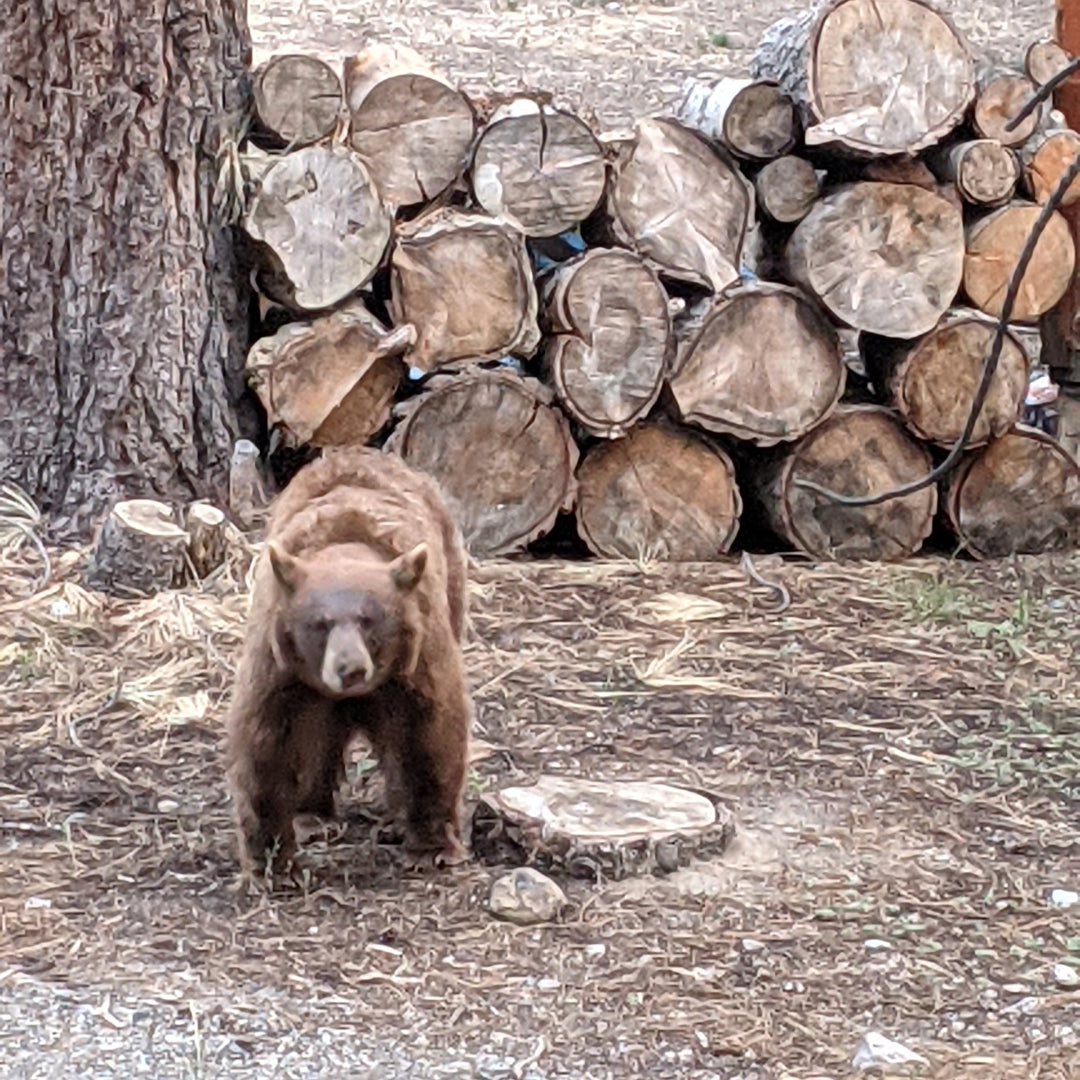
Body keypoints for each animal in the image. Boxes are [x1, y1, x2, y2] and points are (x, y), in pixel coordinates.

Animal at [222, 447, 468, 876]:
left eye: (370, 619)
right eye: (319, 623)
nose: (350, 669)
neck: (345, 544)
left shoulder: (417, 660)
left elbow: (430, 734)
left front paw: (431, 846)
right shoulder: (280, 667)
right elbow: (266, 746)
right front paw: (272, 862)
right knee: (316, 740)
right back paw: (310, 816)